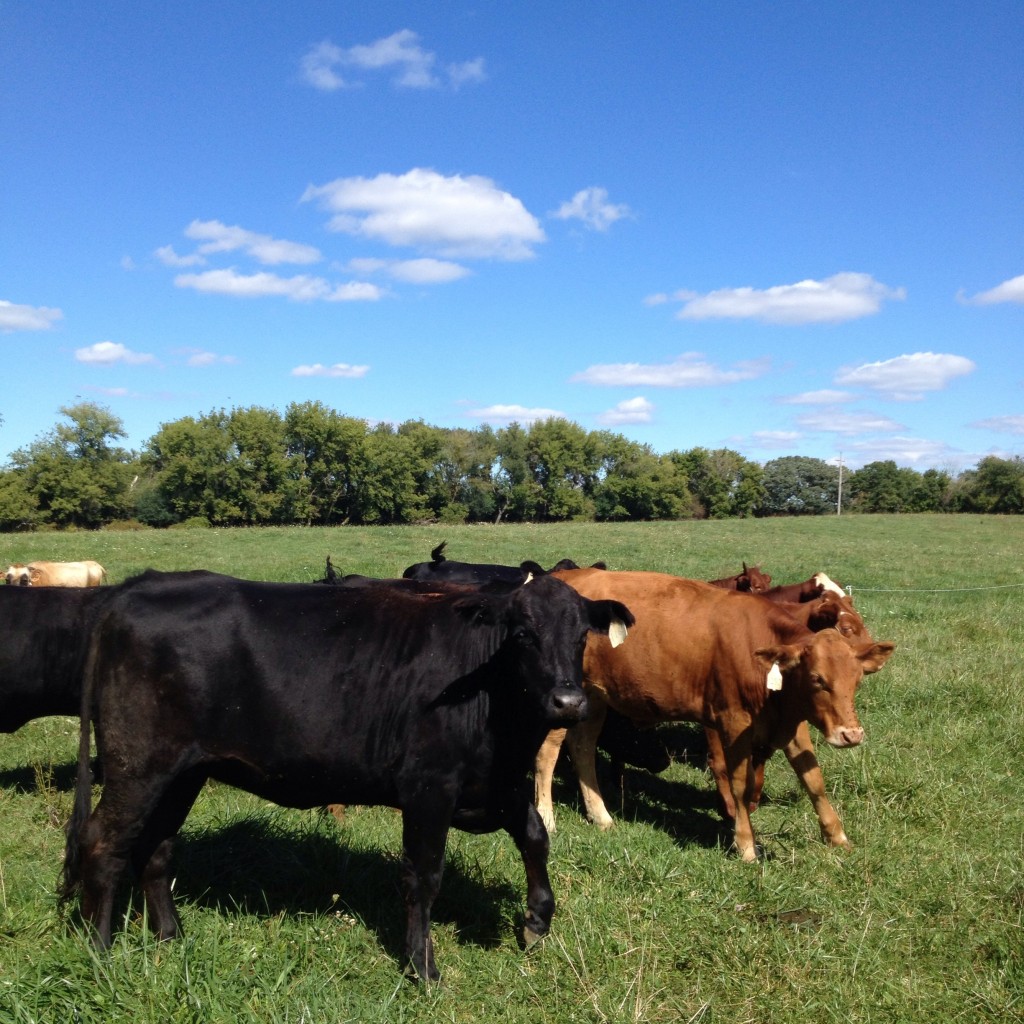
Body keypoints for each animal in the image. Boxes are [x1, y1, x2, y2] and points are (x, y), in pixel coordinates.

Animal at [61, 570, 634, 982]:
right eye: (522, 635)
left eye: (581, 637)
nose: (568, 702)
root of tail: (141, 585)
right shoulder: (429, 788)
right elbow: (424, 876)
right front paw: (422, 967)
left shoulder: (501, 782)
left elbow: (536, 837)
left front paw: (537, 920)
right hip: (139, 765)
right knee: (103, 843)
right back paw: (98, 951)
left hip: (183, 772)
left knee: (156, 847)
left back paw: (170, 936)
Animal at [534, 569, 894, 862]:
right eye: (818, 679)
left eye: (856, 679)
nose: (851, 735)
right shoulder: (732, 722)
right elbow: (738, 783)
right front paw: (745, 844)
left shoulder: (791, 723)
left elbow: (813, 779)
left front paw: (838, 837)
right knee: (547, 754)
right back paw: (547, 817)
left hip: (595, 699)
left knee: (583, 748)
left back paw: (601, 815)